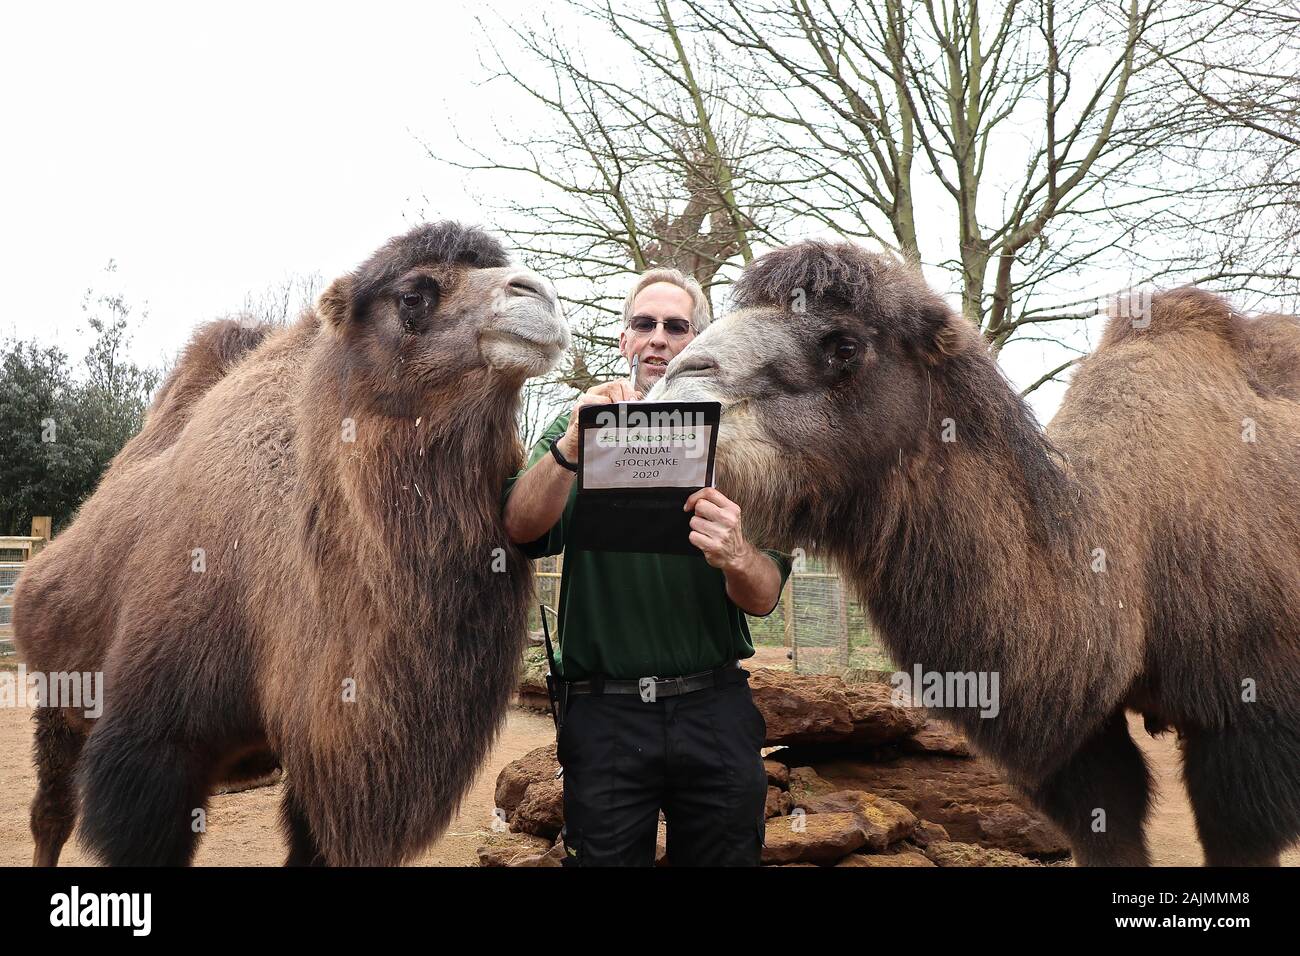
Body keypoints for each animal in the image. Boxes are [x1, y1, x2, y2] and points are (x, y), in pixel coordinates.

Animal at [10, 223, 569, 868]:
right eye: (413, 296)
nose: (540, 297)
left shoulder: (326, 762)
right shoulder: (150, 753)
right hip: (58, 692)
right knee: (51, 812)